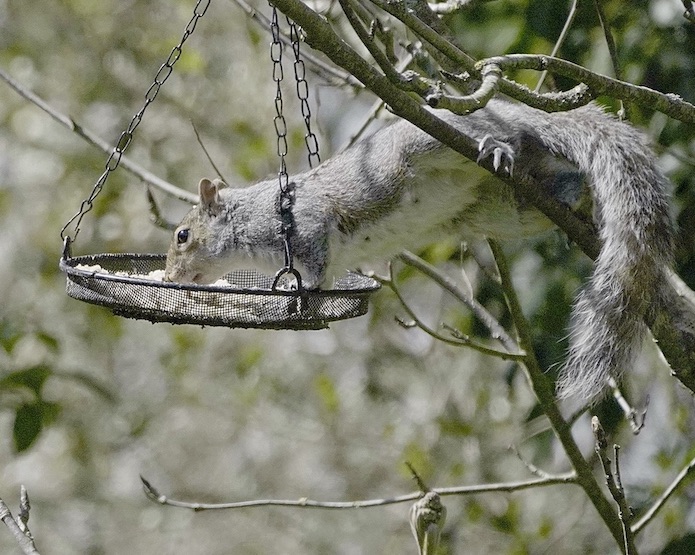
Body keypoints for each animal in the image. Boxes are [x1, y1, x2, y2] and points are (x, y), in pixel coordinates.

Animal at [164, 99, 673, 401]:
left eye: (182, 236)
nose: (169, 278)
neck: (247, 220)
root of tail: (512, 111)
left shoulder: (303, 225)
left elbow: (316, 263)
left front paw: (301, 292)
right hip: (503, 209)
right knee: (565, 181)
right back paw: (577, 204)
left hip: (429, 143)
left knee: (503, 140)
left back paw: (499, 147)